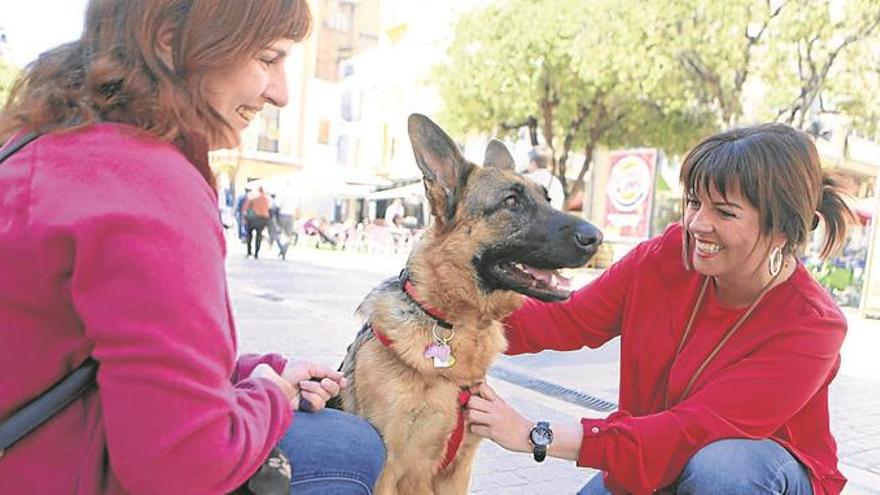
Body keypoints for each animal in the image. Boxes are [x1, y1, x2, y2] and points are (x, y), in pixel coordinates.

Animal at [334, 114, 600, 494]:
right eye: (510, 202)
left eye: (547, 198)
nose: (597, 238)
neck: (453, 323)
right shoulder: (388, 469)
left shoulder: (457, 470)